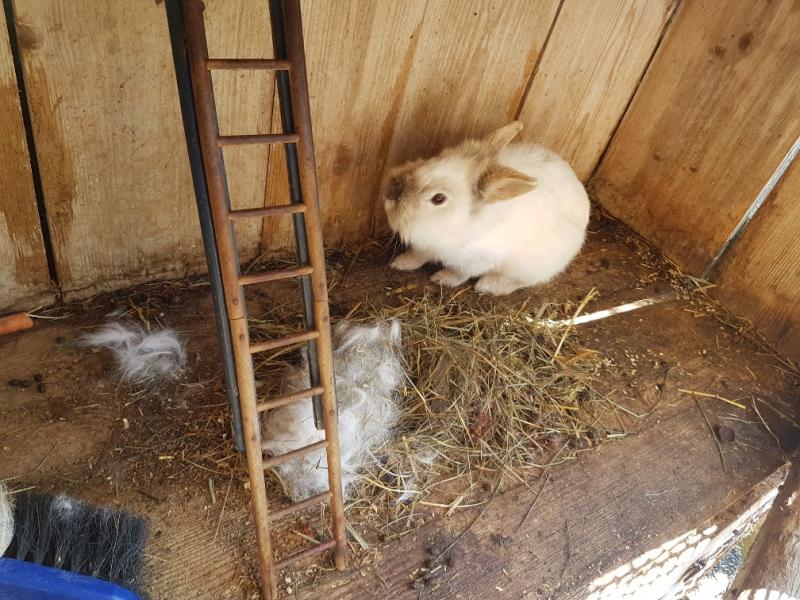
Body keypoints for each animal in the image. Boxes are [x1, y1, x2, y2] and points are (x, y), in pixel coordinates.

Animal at [382, 121, 590, 296]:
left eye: (438, 199)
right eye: (433, 159)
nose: (390, 192)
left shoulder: (476, 261)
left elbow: (459, 273)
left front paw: (442, 279)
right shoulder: (427, 246)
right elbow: (418, 255)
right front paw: (400, 263)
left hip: (533, 265)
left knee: (524, 280)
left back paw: (489, 285)